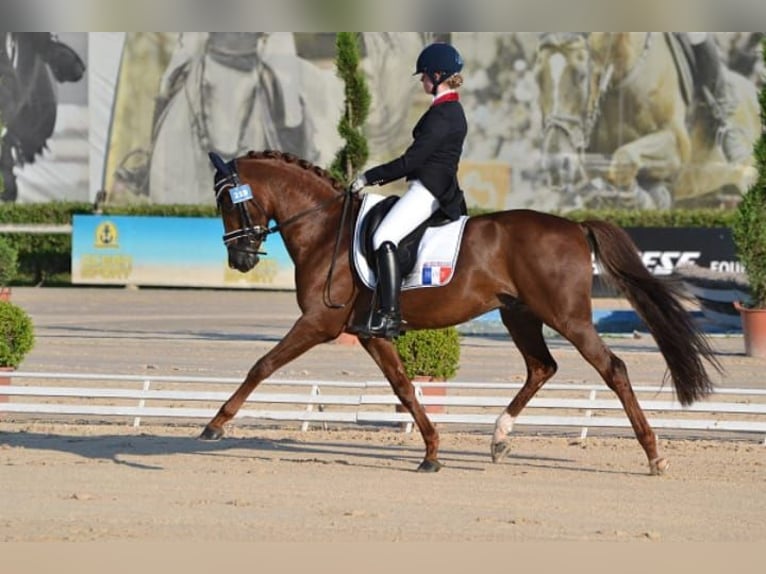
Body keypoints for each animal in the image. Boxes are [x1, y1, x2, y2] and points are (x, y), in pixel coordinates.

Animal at [201, 150, 724, 476]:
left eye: (228, 201)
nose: (239, 259)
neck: (326, 226)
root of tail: (574, 226)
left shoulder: (318, 323)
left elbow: (262, 365)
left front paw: (215, 424)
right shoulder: (371, 333)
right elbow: (405, 388)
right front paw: (432, 452)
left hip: (567, 316)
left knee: (612, 369)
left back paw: (654, 456)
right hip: (520, 315)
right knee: (541, 367)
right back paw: (499, 438)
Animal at [536, 32, 760, 212]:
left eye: (581, 76)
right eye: (538, 78)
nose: (555, 164)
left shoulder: (677, 144)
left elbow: (624, 157)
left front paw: (645, 197)